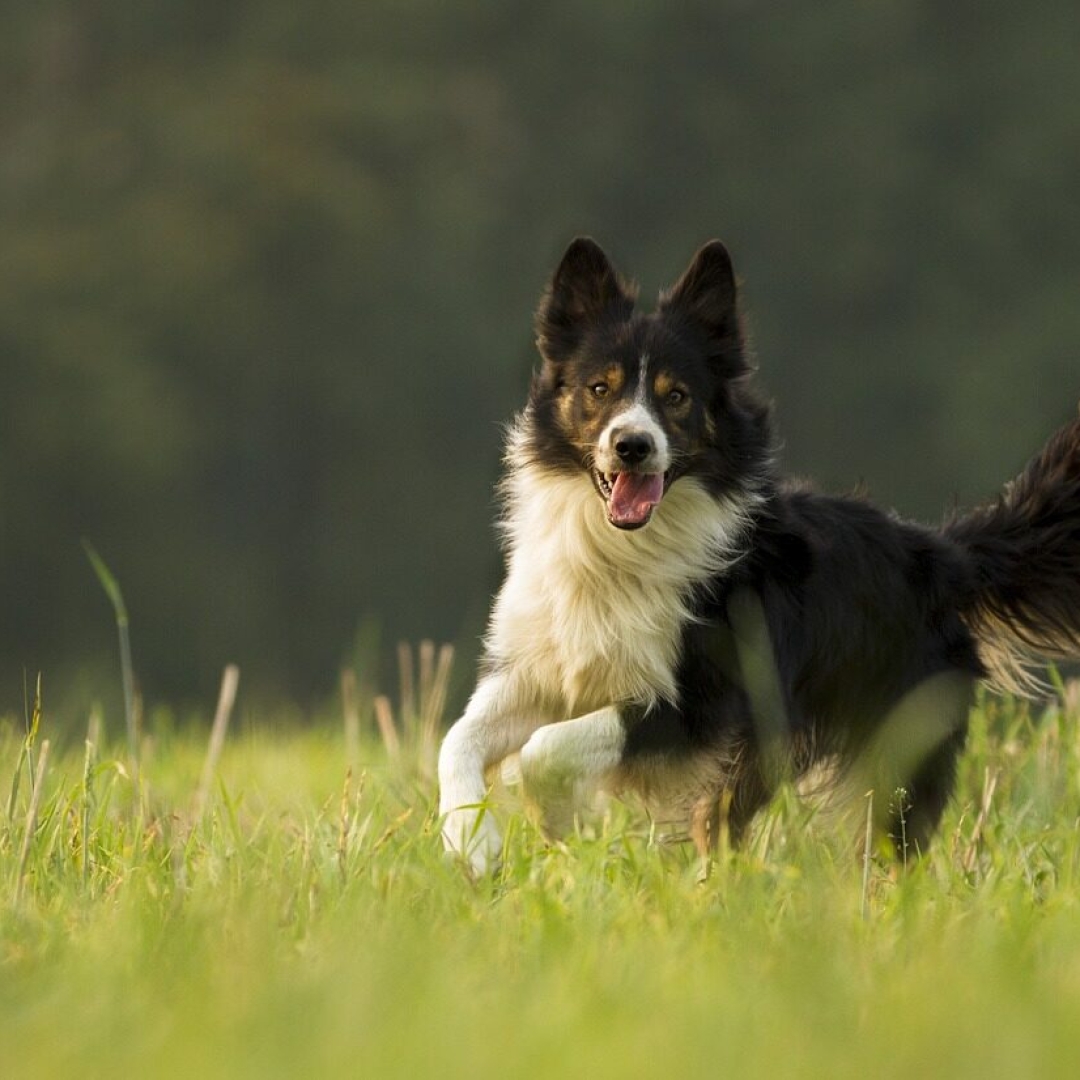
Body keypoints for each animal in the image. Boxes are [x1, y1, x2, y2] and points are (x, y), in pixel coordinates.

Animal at [436, 234, 1080, 868]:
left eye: (677, 397)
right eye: (600, 389)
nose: (632, 445)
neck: (621, 549)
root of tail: (941, 552)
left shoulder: (702, 702)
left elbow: (547, 747)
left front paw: (555, 818)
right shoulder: (542, 668)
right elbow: (457, 737)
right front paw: (470, 842)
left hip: (890, 738)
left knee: (886, 840)